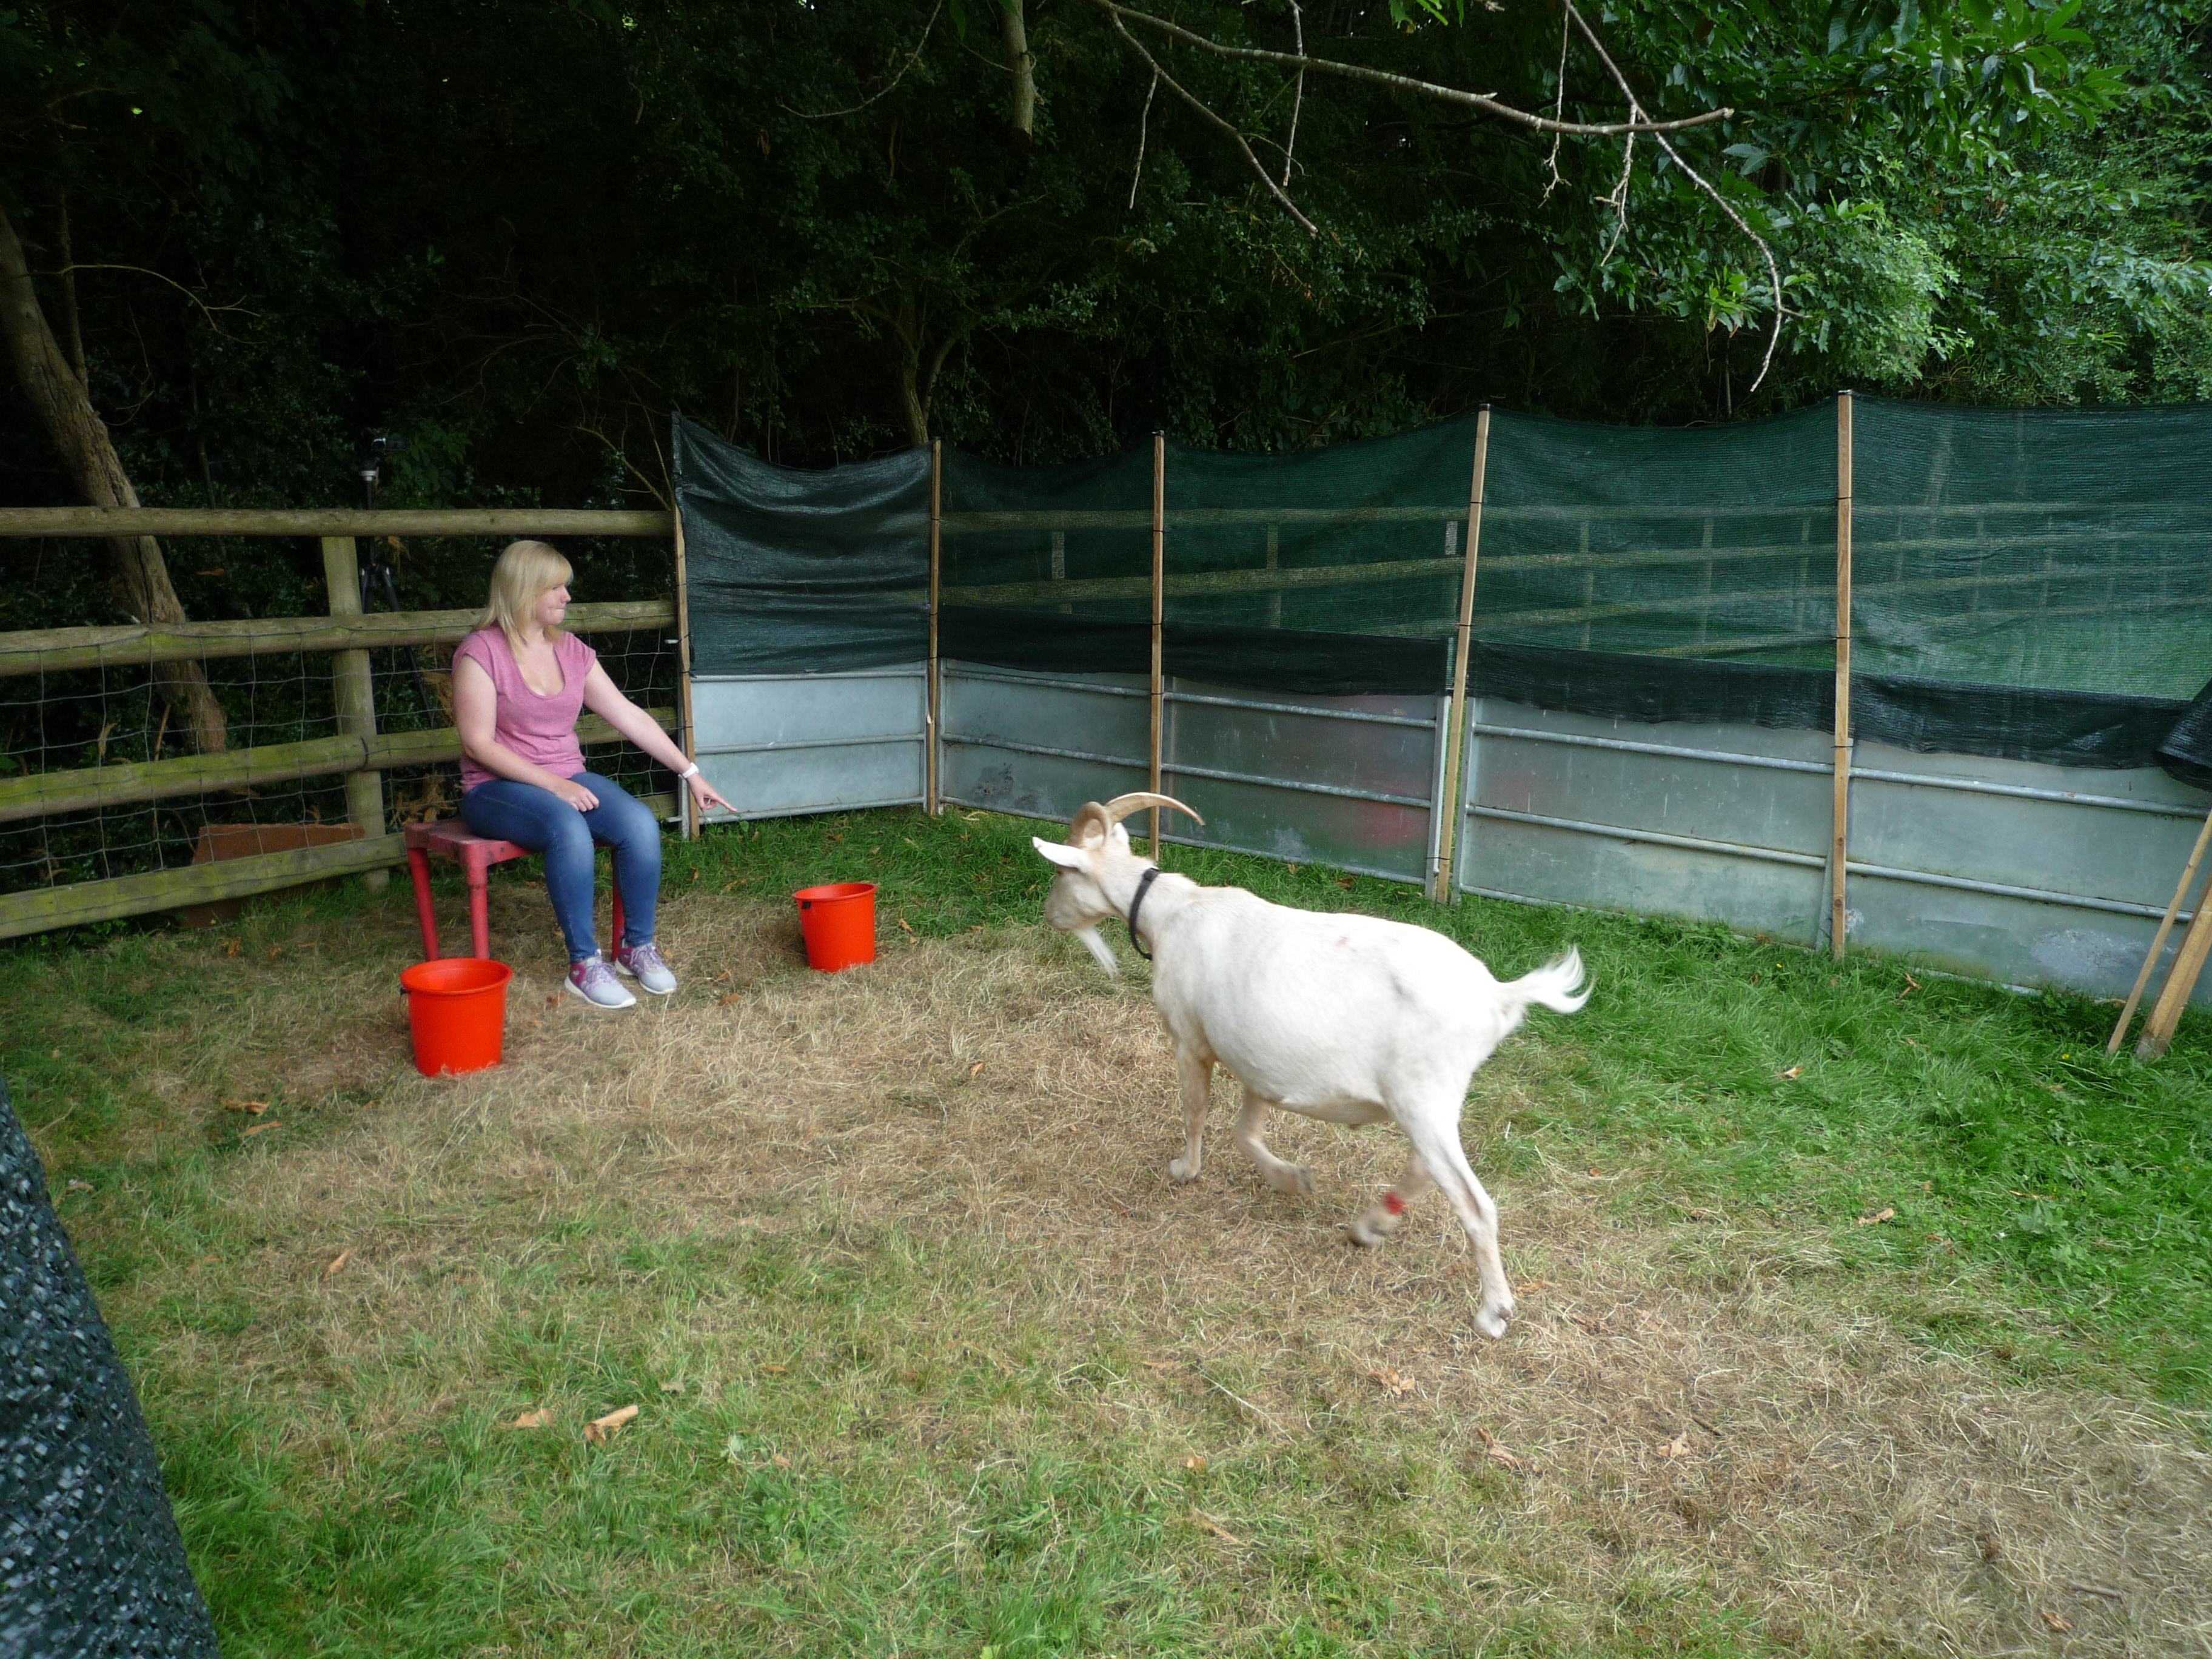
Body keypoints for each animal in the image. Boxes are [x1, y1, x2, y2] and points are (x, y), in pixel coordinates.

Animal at [1035, 791, 1592, 1336]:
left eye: (1061, 872)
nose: (1048, 914)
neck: (1173, 911)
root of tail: (1498, 996)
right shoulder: (1258, 1062)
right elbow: (1246, 1132)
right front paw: (1293, 1180)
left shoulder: (1190, 1040)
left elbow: (1195, 1112)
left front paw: (1184, 1171)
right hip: (1428, 1103)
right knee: (1422, 1170)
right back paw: (1370, 1227)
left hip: (1424, 1097)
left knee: (1475, 1204)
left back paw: (1493, 1312)